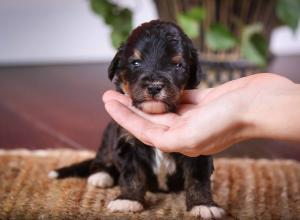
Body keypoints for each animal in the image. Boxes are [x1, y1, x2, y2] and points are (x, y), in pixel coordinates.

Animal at [48, 19, 225, 219]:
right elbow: (132, 174)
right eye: (136, 62)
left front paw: (203, 205)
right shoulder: (127, 141)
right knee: (102, 158)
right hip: (108, 133)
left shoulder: (196, 147)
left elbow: (198, 177)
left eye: (177, 65)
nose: (154, 87)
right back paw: (101, 175)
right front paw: (128, 200)